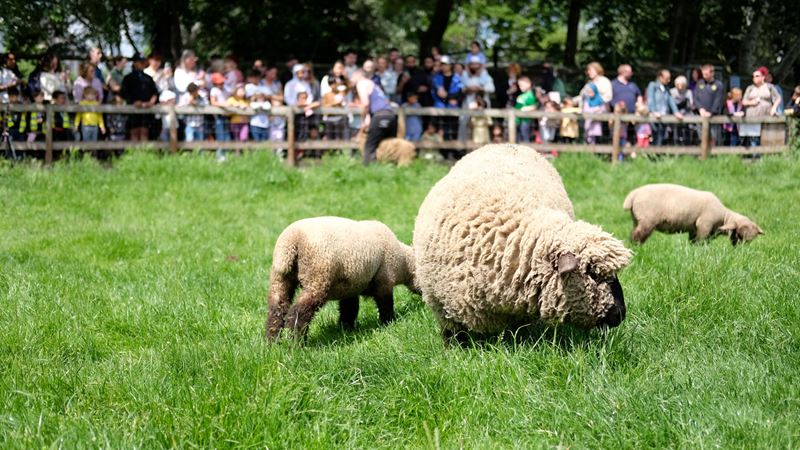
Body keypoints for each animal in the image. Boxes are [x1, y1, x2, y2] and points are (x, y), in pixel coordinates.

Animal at [266, 216, 417, 341]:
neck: (403, 262)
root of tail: (290, 243)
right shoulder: (384, 279)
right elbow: (385, 304)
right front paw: (389, 322)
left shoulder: (350, 287)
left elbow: (349, 308)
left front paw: (346, 329)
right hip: (318, 275)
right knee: (298, 312)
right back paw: (296, 343)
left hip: (280, 278)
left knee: (277, 309)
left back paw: (273, 343)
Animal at [623, 183, 763, 245]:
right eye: (740, 235)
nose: (740, 250)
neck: (723, 217)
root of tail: (633, 195)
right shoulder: (704, 224)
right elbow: (700, 241)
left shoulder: (694, 228)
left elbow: (693, 240)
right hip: (647, 220)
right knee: (638, 235)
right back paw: (636, 246)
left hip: (637, 219)